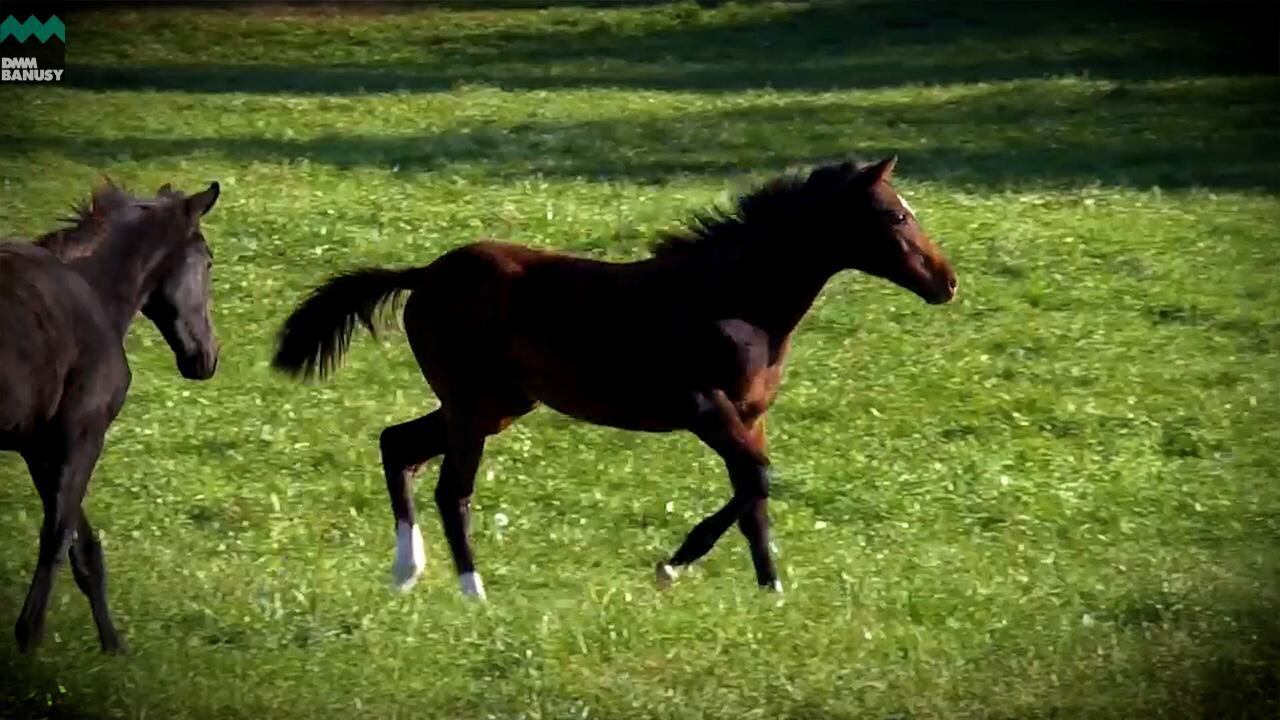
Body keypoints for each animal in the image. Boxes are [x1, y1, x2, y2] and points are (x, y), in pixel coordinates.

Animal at [0, 180, 221, 650]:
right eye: (208, 260)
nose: (207, 357)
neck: (91, 290)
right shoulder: (81, 434)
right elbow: (59, 536)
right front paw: (29, 637)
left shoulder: (37, 446)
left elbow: (85, 549)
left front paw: (113, 647)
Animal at [275, 158, 957, 599]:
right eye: (896, 216)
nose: (947, 282)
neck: (732, 299)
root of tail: (427, 274)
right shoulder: (703, 407)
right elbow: (758, 481)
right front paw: (672, 567)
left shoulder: (749, 417)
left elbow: (754, 497)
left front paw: (772, 591)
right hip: (472, 405)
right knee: (451, 489)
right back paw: (473, 593)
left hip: (496, 404)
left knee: (397, 445)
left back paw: (405, 573)